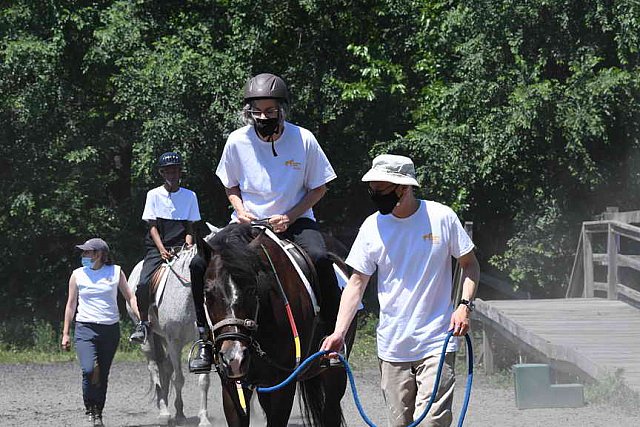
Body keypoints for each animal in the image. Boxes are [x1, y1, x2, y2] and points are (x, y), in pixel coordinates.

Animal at [202, 224, 358, 427]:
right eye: (208, 293)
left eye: (252, 289)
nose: (233, 357)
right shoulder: (232, 386)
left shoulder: (283, 385)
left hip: (334, 374)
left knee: (330, 412)